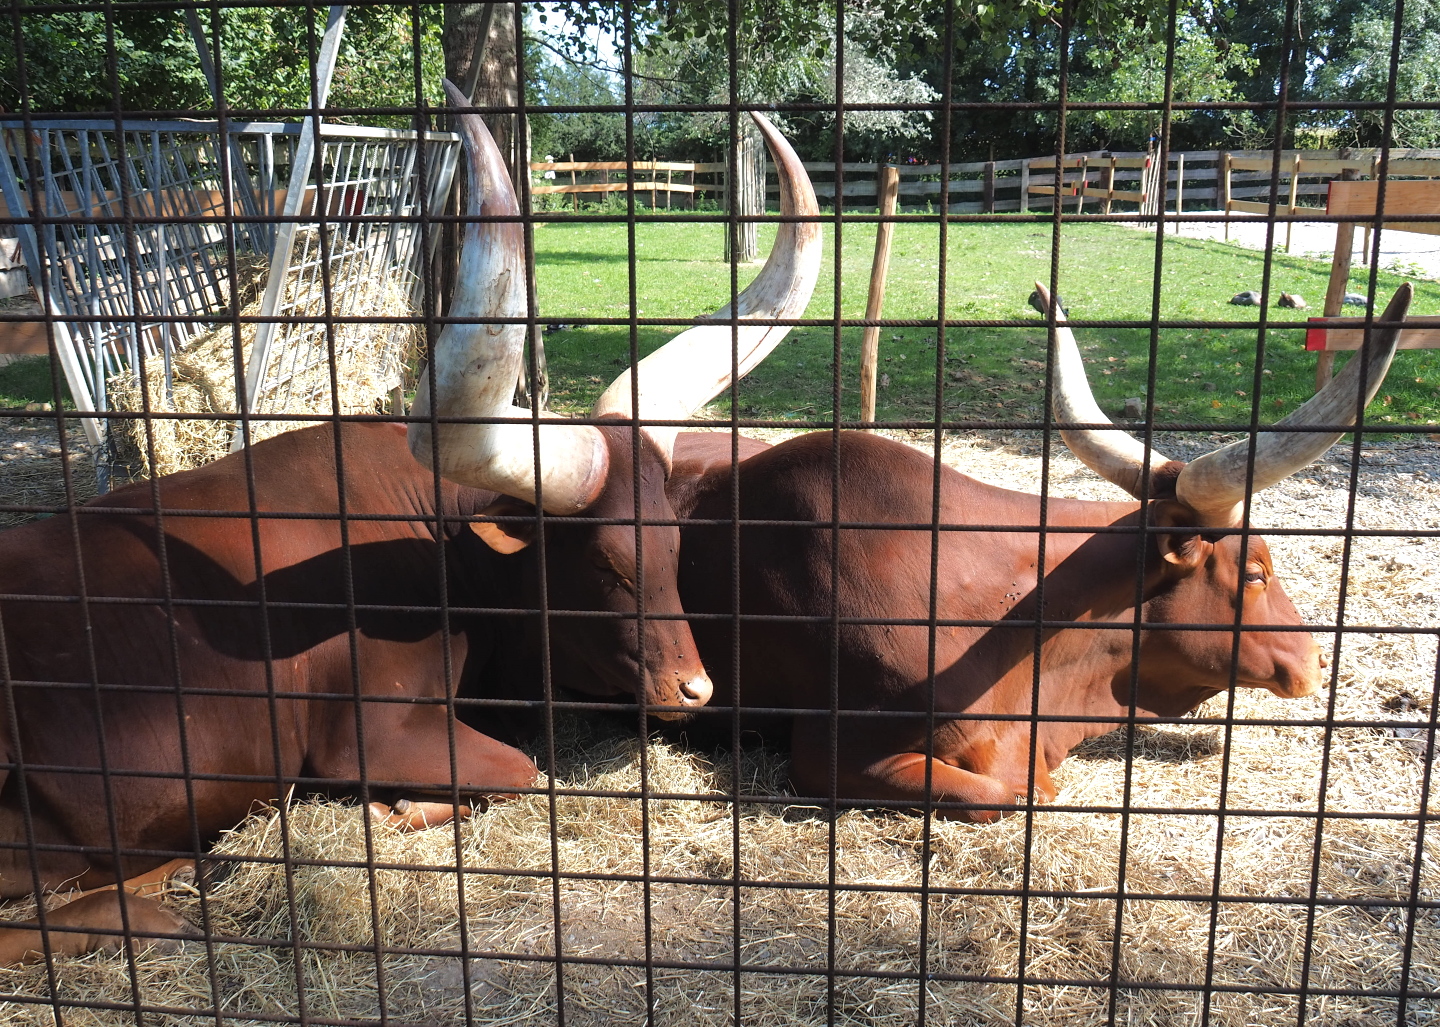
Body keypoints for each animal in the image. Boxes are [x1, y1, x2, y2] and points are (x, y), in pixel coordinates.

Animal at [0, 82, 820, 964]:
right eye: (602, 562)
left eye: (671, 542)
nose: (695, 686)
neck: (442, 554)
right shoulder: (372, 733)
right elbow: (516, 770)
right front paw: (387, 807)